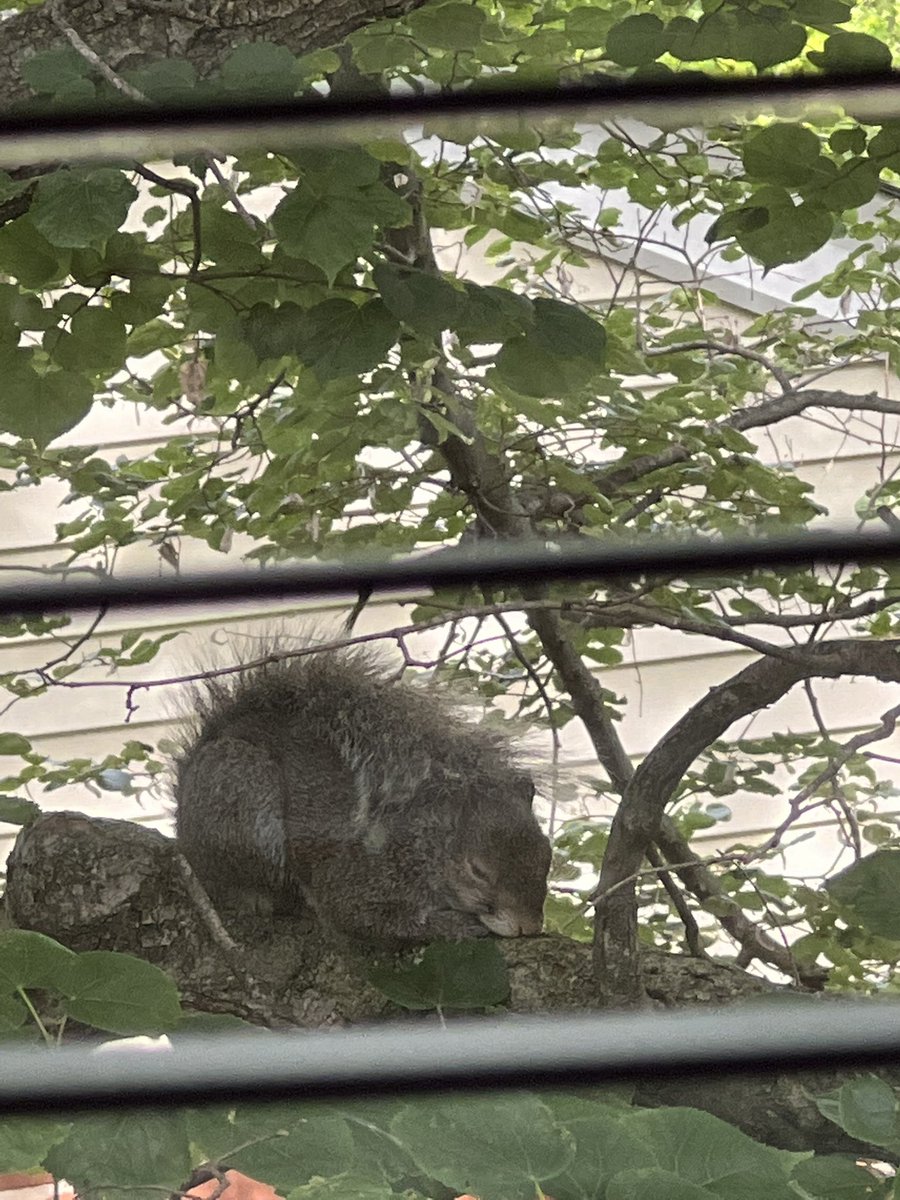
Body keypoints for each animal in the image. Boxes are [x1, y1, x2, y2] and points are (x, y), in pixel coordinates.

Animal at [174, 641, 552, 948]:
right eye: (477, 871)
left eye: (546, 856)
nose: (529, 926)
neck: (421, 847)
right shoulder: (359, 875)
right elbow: (362, 917)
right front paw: (453, 925)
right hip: (240, 793)